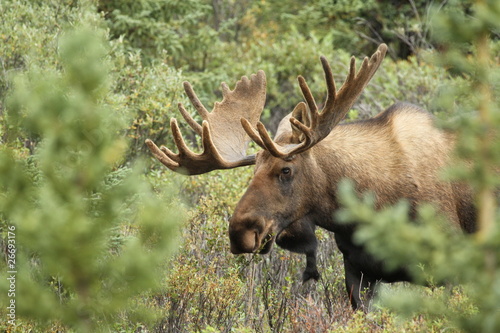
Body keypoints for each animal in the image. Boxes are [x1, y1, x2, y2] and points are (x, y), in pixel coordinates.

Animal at [146, 44, 476, 308]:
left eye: (286, 169)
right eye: (253, 170)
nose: (239, 232)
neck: (369, 206)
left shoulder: (448, 266)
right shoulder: (358, 271)